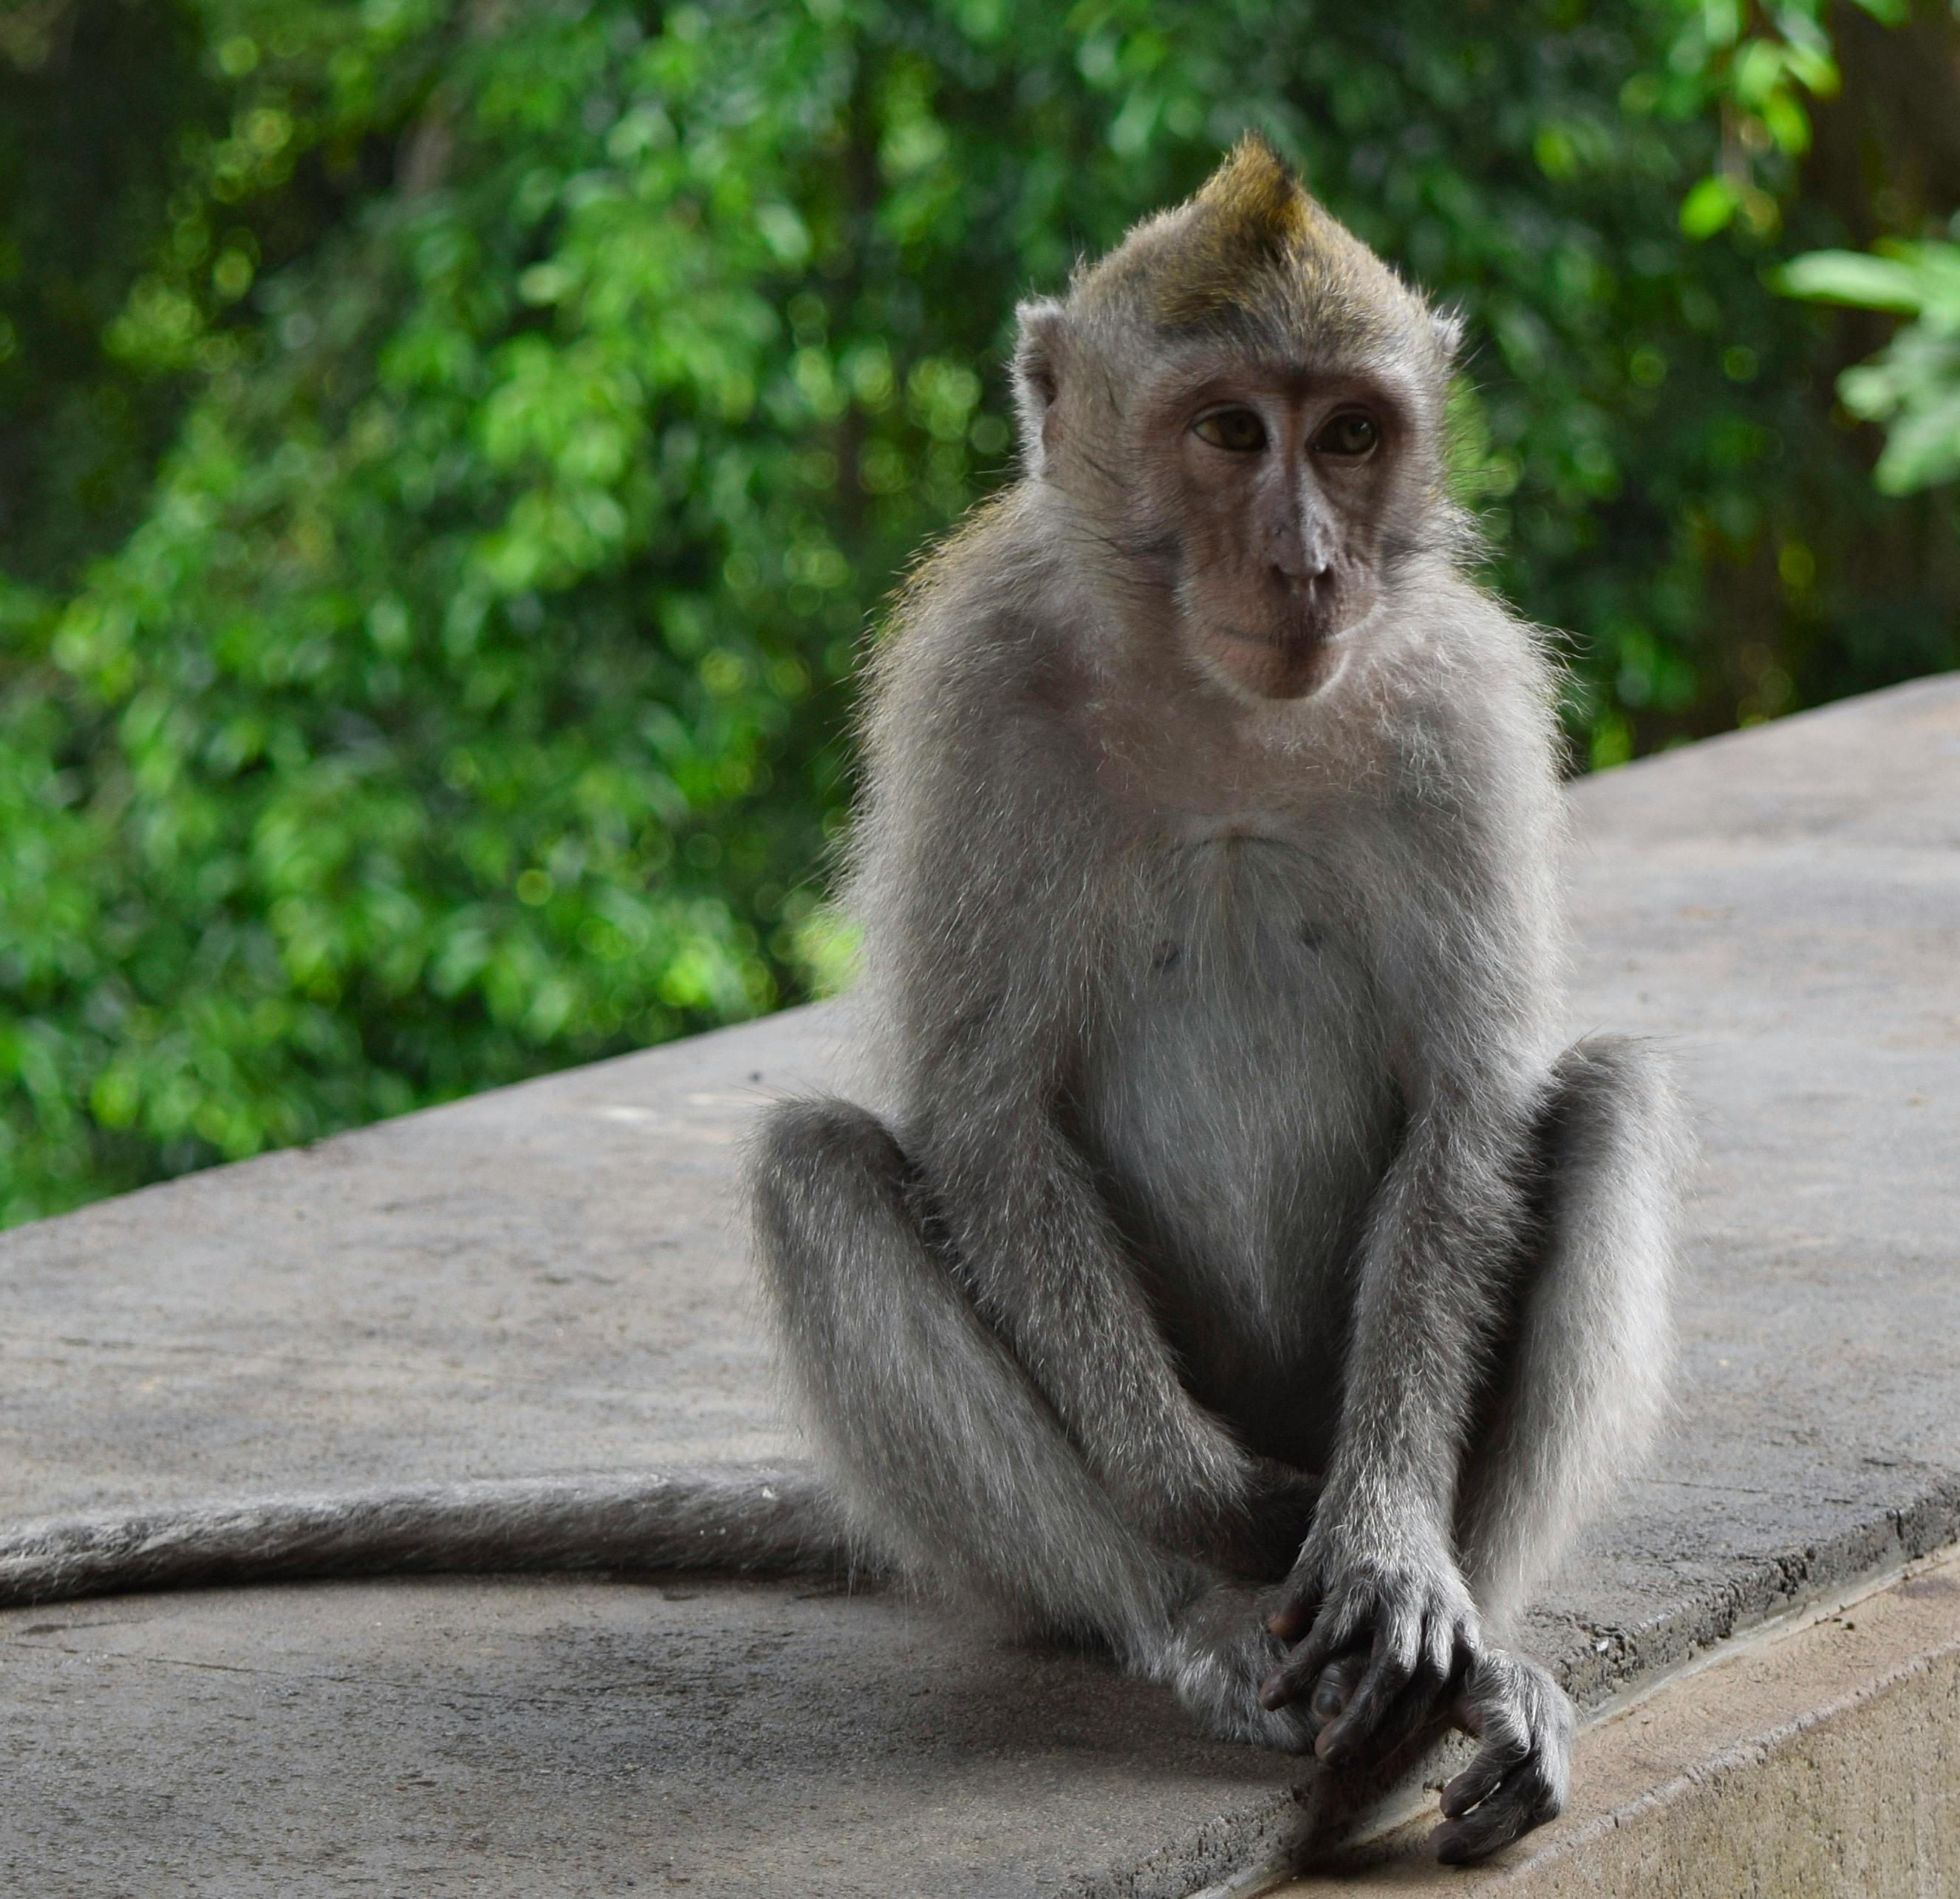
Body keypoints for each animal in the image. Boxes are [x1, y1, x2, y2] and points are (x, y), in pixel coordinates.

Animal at [0, 140, 1685, 1873]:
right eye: (1230, 431)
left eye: (1349, 434)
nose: (1306, 562)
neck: (1221, 708)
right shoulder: (970, 684)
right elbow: (981, 1106)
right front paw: (1216, 1505)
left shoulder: (1464, 706)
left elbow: (1465, 1105)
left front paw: (1386, 1547)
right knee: (818, 1175)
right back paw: (1194, 1615)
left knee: (1599, 1104)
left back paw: (1465, 1671)